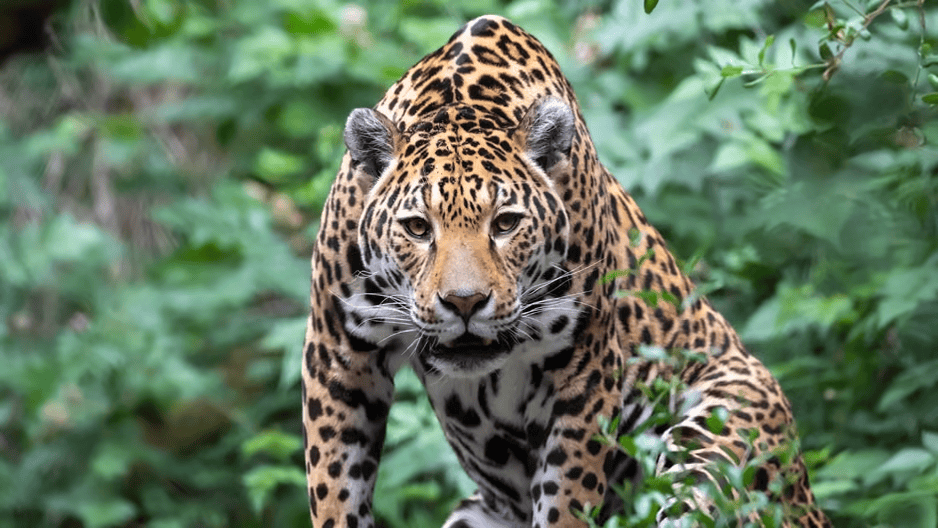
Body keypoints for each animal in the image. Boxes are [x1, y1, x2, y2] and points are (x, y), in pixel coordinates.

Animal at [301, 14, 831, 528]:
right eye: (416, 228)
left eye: (506, 223)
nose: (465, 303)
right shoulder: (338, 360)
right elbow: (334, 491)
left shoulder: (584, 372)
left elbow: (567, 500)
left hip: (714, 443)